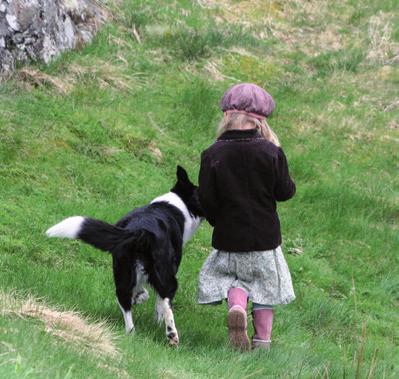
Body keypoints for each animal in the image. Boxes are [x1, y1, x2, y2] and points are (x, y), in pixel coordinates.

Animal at [46, 168, 203, 346]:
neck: (178, 203)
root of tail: (140, 230)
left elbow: (143, 294)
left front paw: (138, 299)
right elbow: (158, 304)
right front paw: (157, 320)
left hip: (123, 270)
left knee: (123, 299)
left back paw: (131, 334)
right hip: (165, 276)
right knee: (166, 302)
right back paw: (171, 335)